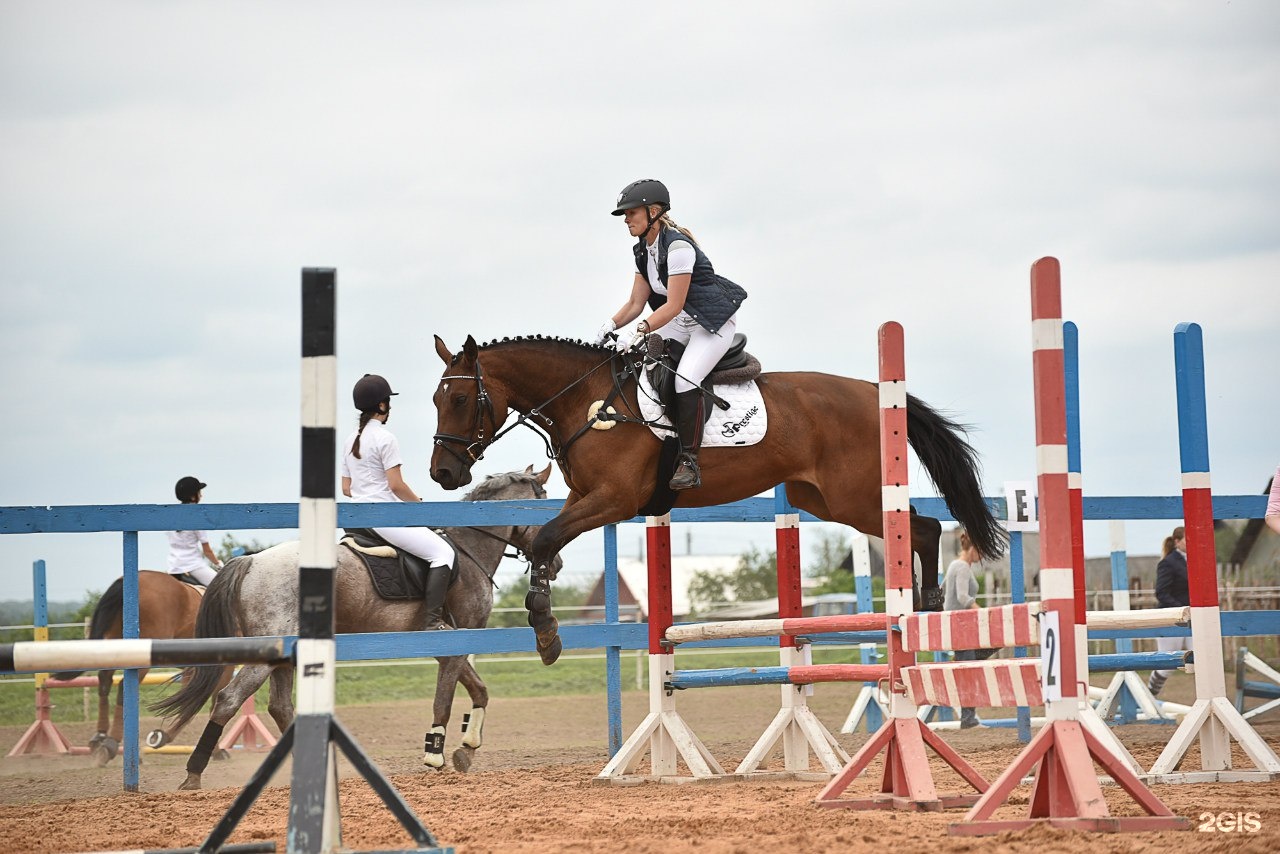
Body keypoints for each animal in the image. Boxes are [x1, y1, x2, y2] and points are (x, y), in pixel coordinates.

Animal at [51, 571, 230, 763]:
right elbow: (212, 705)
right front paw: (215, 751)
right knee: (122, 686)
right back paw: (111, 744)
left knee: (105, 682)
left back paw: (100, 738)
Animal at [147, 468, 558, 788]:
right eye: (544, 499)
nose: (556, 566)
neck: (470, 551)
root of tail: (251, 561)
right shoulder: (454, 645)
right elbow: (444, 700)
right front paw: (436, 754)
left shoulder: (455, 645)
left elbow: (480, 691)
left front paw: (467, 748)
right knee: (229, 700)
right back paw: (193, 775)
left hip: (284, 653)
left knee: (280, 706)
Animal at [430, 332, 1008, 665]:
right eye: (438, 397)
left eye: (458, 398)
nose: (443, 473)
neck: (587, 400)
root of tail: (873, 391)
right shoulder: (585, 497)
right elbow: (543, 545)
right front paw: (546, 625)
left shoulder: (614, 500)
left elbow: (546, 538)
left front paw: (547, 631)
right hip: (824, 498)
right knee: (919, 527)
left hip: (857, 496)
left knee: (925, 528)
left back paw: (927, 609)